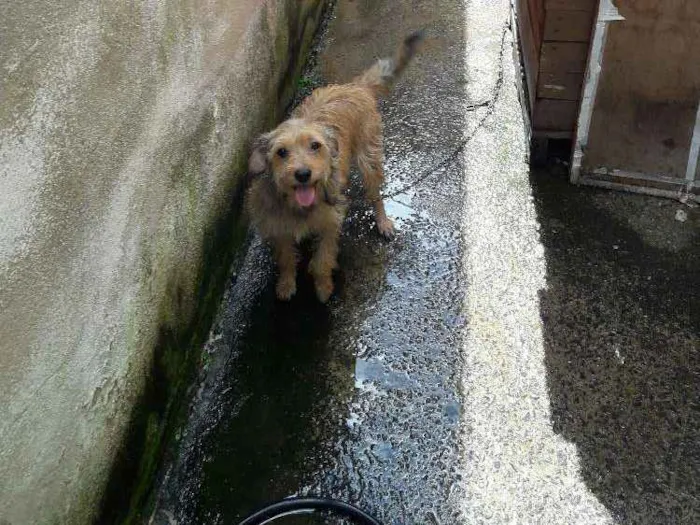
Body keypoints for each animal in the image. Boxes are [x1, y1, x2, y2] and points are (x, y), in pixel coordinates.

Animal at [246, 31, 422, 302]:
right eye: (281, 152)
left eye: (315, 145)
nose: (303, 174)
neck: (300, 207)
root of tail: (354, 87)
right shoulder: (278, 228)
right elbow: (286, 259)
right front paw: (286, 285)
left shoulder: (330, 222)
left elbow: (322, 261)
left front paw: (323, 289)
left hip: (369, 159)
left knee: (376, 195)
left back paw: (383, 222)